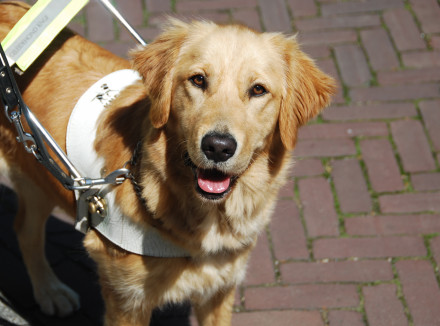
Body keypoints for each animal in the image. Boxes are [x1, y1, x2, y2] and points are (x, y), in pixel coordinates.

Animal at [0, 1, 334, 324]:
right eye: (198, 80)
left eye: (258, 90)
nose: (218, 147)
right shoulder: (127, 300)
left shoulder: (219, 289)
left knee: (24, 229)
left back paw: (49, 291)